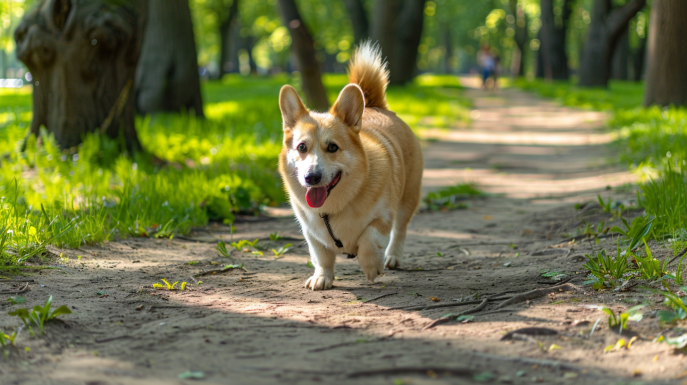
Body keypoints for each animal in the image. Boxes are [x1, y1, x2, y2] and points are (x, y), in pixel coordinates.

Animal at [276, 42, 422, 290]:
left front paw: (372, 268)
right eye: (302, 147)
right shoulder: (311, 233)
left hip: (407, 199)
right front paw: (321, 278)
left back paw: (392, 257)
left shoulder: (383, 216)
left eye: (333, 147)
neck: (333, 207)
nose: (311, 177)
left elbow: (369, 240)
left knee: (400, 230)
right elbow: (321, 257)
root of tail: (376, 107)